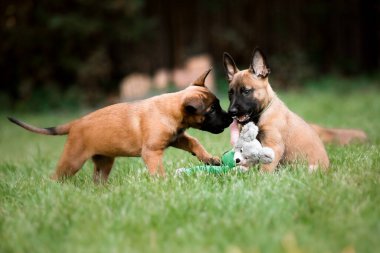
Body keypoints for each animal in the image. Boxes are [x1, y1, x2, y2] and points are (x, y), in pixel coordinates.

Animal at [8, 69, 232, 182]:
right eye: (212, 110)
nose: (230, 118)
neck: (170, 110)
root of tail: (75, 123)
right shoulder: (152, 152)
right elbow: (157, 169)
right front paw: (163, 183)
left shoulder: (178, 138)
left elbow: (194, 142)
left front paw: (209, 159)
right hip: (72, 160)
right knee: (57, 176)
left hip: (105, 160)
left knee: (98, 179)